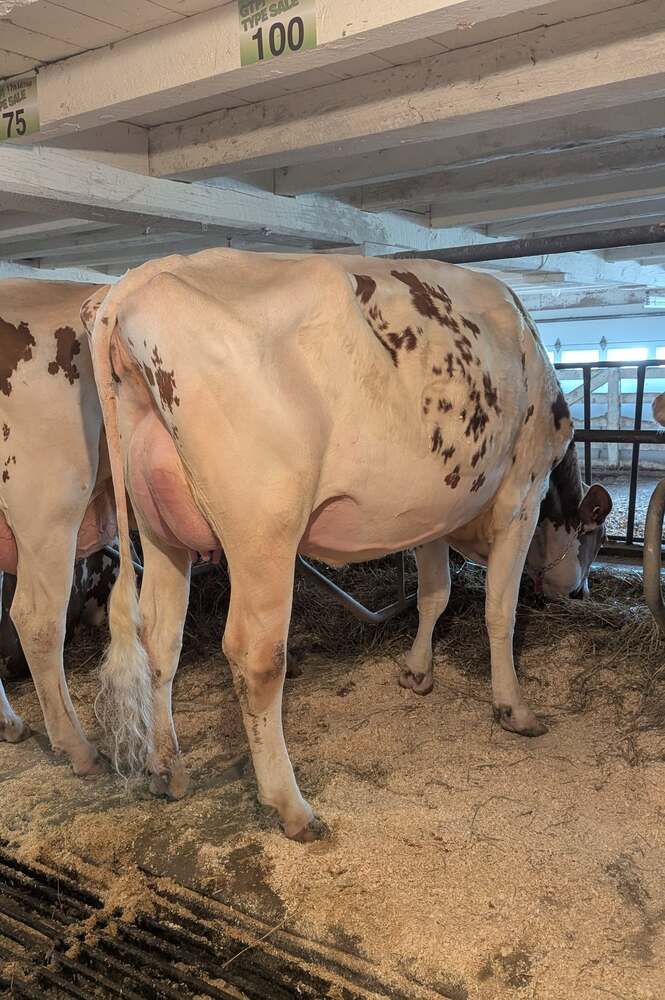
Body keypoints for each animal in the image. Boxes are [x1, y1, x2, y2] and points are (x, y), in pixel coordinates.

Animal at [86, 249, 612, 841]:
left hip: (159, 532)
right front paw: (514, 708)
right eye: (594, 538)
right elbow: (501, 610)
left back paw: (167, 768)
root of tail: (138, 280)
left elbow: (435, 594)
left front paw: (417, 672)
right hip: (263, 532)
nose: (582, 593)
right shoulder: (523, 490)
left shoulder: (430, 511)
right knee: (255, 656)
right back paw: (291, 806)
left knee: (160, 637)